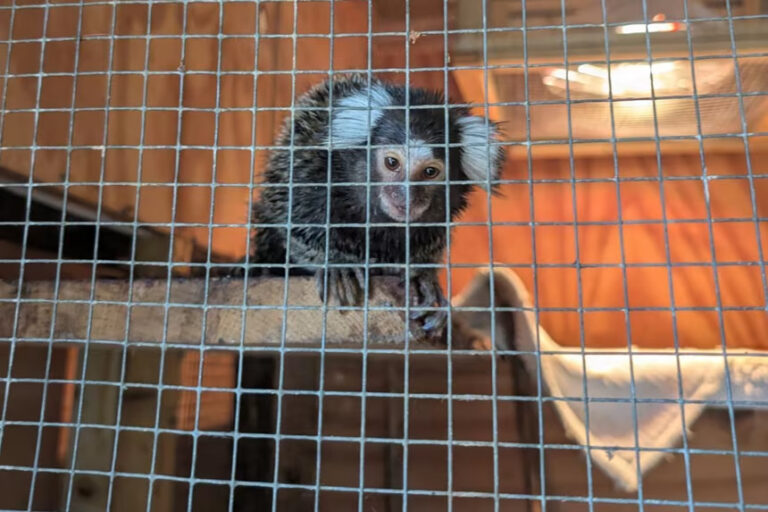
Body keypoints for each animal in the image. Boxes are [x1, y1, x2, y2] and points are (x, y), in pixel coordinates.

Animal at [250, 73, 504, 344]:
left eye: (430, 172)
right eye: (392, 162)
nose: (406, 196)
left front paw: (423, 278)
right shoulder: (309, 170)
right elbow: (296, 226)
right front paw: (337, 265)